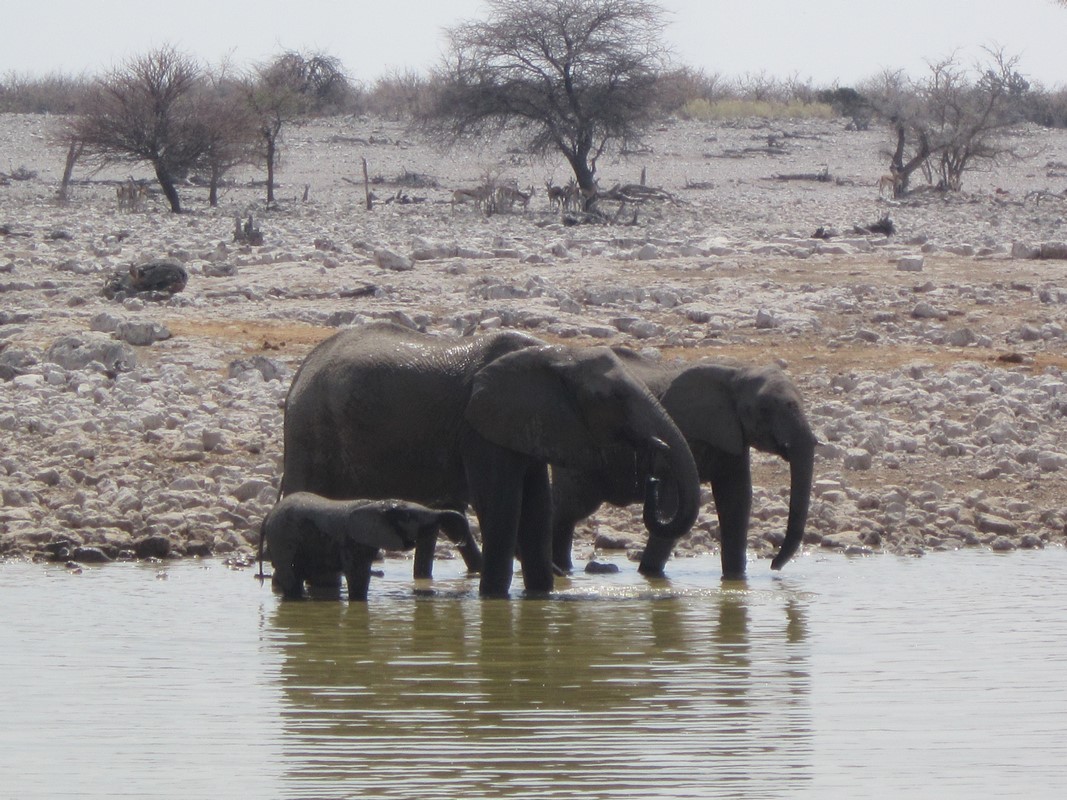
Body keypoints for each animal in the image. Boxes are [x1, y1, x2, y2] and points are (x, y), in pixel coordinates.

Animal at [259, 494, 471, 601]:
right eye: (409, 517)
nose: (461, 541)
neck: (375, 504)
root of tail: (268, 515)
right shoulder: (350, 540)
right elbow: (357, 575)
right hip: (282, 538)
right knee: (291, 575)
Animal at [279, 322, 704, 597]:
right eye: (608, 397)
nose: (655, 464)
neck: (555, 353)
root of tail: (301, 371)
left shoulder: (525, 424)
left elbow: (536, 510)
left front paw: (541, 598)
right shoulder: (479, 429)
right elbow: (502, 508)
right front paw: (495, 601)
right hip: (310, 429)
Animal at [550, 349, 815, 584]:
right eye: (763, 409)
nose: (773, 566)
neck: (738, 371)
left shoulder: (732, 437)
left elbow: (736, 500)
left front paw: (735, 580)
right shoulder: (686, 429)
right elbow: (675, 503)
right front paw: (649, 576)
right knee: (571, 508)